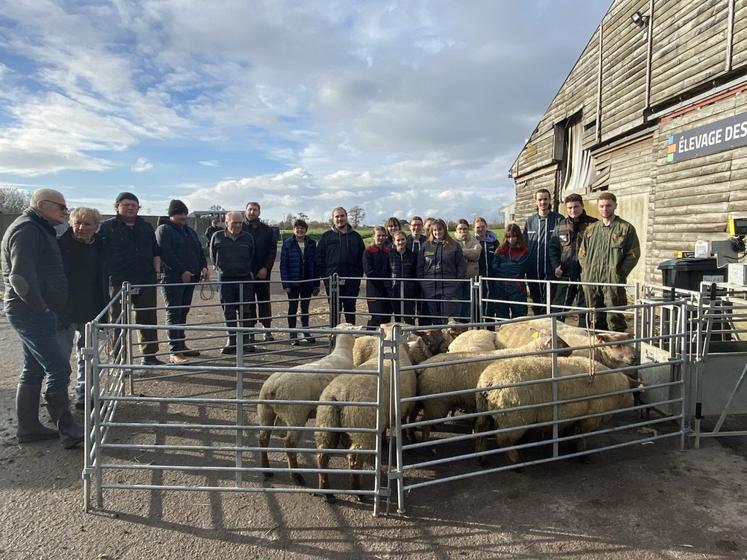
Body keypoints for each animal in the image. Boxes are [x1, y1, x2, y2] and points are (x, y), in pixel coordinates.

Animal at [258, 324, 360, 486]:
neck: (342, 352)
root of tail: (273, 388)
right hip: (295, 415)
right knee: (289, 445)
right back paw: (296, 476)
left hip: (265, 411)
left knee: (263, 438)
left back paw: (266, 470)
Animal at [312, 322, 414, 500]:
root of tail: (339, 393)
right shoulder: (400, 411)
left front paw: (384, 441)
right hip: (362, 426)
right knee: (354, 458)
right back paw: (357, 491)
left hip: (326, 422)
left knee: (323, 455)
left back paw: (326, 491)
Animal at [476, 356, 636, 466]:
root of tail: (489, 380)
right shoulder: (590, 418)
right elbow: (582, 436)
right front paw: (583, 455)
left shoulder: (575, 415)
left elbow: (573, 433)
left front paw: (571, 447)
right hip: (513, 419)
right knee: (504, 441)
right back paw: (515, 462)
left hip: (485, 411)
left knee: (480, 430)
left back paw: (481, 458)